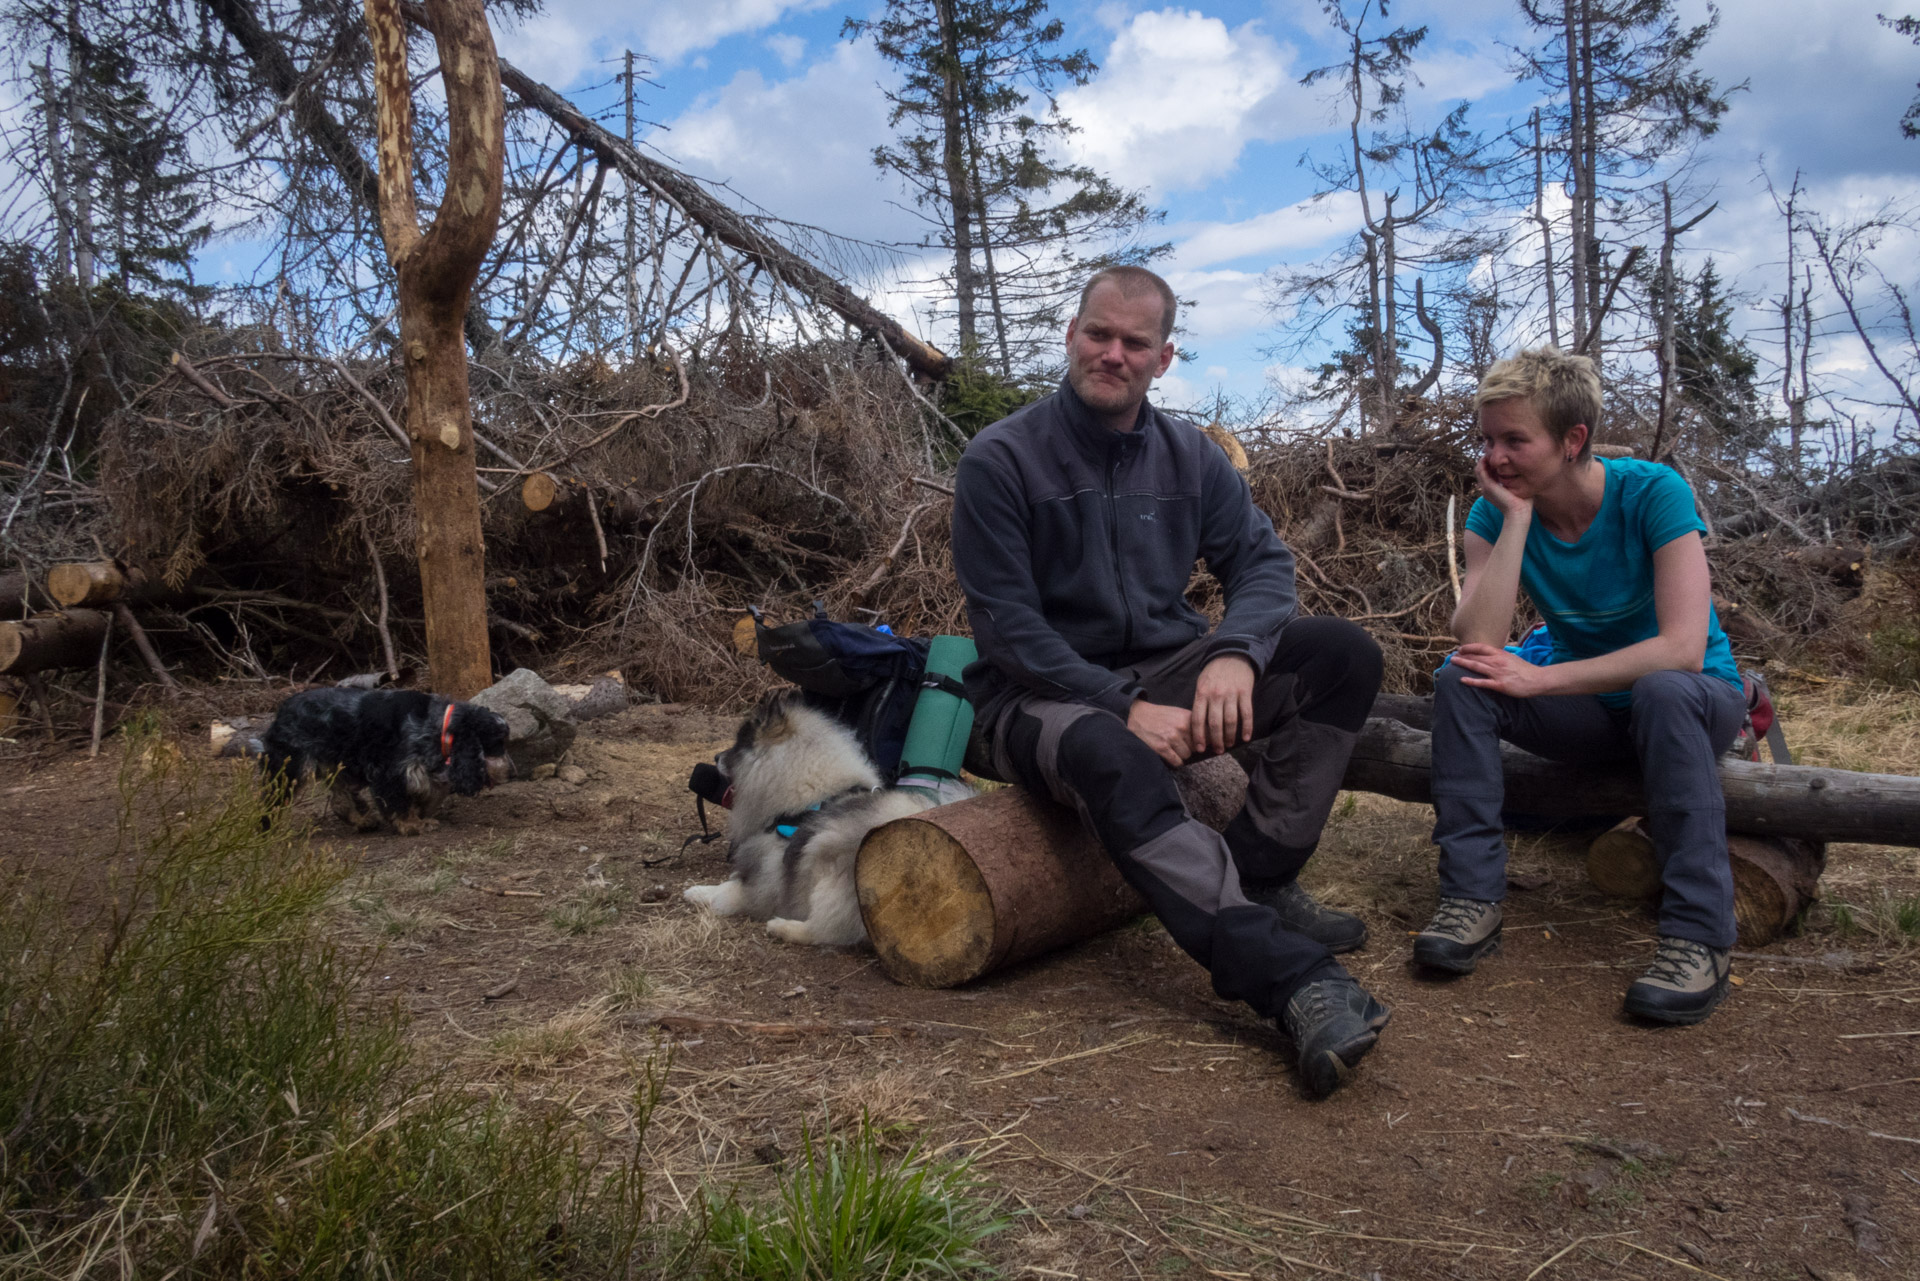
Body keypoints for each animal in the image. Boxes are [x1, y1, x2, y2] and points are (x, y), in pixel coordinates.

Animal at [259, 687, 510, 837]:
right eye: (498, 745)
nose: (511, 771)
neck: (441, 725)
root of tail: (282, 709)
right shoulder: (392, 771)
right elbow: (399, 801)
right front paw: (413, 825)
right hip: (290, 766)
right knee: (272, 799)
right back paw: (267, 829)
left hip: (337, 765)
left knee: (341, 799)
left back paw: (362, 820)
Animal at [687, 695, 948, 948]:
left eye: (740, 744)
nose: (716, 756)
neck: (810, 796)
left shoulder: (769, 877)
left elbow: (730, 890)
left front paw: (699, 892)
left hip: (829, 855)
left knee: (828, 931)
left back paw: (782, 927)